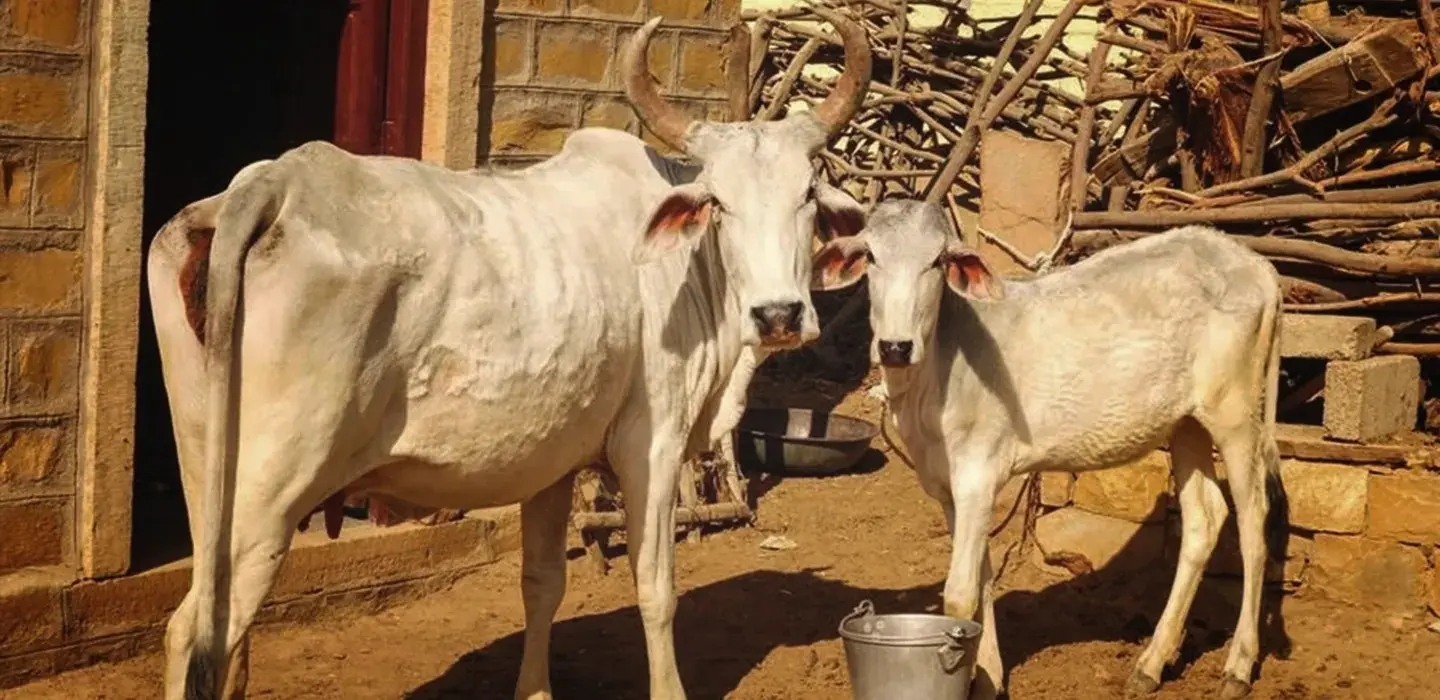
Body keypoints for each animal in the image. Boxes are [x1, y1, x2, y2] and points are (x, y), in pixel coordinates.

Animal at [148, 13, 872, 700]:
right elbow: (656, 590)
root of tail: (271, 185)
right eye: (718, 203)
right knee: (196, 628)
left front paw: (536, 688)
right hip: (274, 487)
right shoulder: (654, 443)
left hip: (206, 470)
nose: (778, 315)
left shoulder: (554, 461)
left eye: (808, 196)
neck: (693, 269)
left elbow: (542, 582)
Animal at [810, 199, 1288, 700]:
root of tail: (1256, 265)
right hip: (1187, 424)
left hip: (1236, 414)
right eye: (871, 256)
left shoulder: (978, 476)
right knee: (1204, 519)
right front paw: (990, 677)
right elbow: (982, 578)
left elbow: (960, 592)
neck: (935, 373)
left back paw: (1238, 665)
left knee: (1254, 521)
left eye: (937, 261)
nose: (896, 346)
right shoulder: (948, 488)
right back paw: (1151, 663)